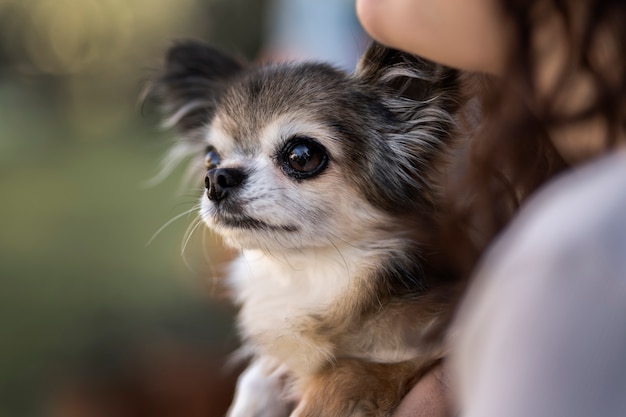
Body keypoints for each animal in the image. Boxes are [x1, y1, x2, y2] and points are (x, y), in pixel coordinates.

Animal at [152, 41, 464, 416]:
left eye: (302, 155)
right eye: (210, 158)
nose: (215, 179)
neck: (309, 275)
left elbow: (343, 374)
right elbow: (255, 379)